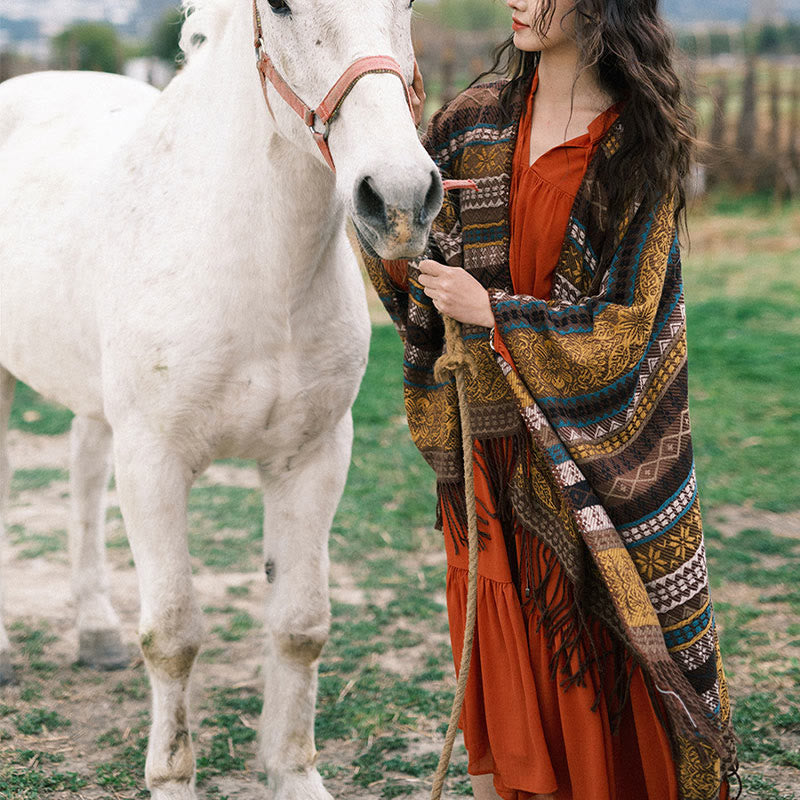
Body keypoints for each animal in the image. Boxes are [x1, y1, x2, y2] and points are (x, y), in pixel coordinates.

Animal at [0, 1, 440, 792]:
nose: (398, 198)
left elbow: (300, 625)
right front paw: (171, 780)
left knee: (82, 481)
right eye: (283, 8)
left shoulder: (314, 458)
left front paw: (294, 774)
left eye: (411, 6)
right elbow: (173, 635)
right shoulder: (153, 463)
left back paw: (97, 631)